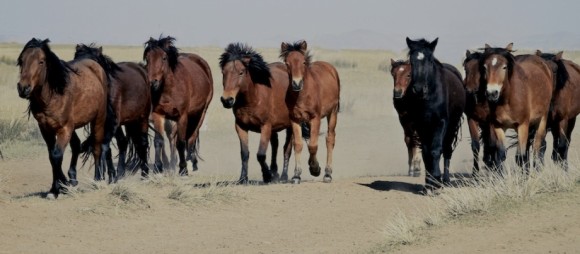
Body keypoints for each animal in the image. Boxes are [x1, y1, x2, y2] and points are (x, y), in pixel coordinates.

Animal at [16, 37, 114, 197]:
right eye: (22, 60)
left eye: (41, 61)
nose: (23, 88)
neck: (53, 95)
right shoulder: (46, 129)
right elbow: (52, 156)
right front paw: (57, 187)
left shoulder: (64, 129)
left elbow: (57, 155)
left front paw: (60, 187)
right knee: (76, 145)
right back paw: (73, 179)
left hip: (98, 120)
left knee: (97, 148)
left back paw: (97, 180)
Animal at [73, 43, 151, 179]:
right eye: (77, 58)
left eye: (93, 63)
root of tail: (141, 68)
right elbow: (104, 147)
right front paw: (110, 176)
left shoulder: (111, 123)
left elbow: (103, 146)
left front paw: (99, 176)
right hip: (127, 122)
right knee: (123, 142)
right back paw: (120, 173)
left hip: (142, 117)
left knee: (143, 143)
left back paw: (145, 174)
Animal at [143, 35, 213, 176]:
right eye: (147, 58)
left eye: (164, 58)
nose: (152, 82)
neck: (169, 89)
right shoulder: (158, 115)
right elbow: (159, 141)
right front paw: (158, 169)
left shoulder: (182, 116)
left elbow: (180, 142)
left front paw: (183, 169)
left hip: (200, 113)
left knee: (192, 136)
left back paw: (191, 164)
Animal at [218, 42, 292, 184]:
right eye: (223, 72)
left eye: (241, 72)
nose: (227, 100)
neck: (253, 99)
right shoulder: (241, 127)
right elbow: (245, 153)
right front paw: (243, 178)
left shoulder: (265, 127)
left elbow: (261, 155)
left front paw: (267, 176)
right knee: (275, 145)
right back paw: (275, 172)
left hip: (291, 126)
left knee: (287, 149)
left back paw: (284, 176)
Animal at [280, 39, 340, 184]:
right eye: (287, 63)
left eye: (303, 62)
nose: (296, 84)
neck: (302, 95)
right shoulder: (295, 119)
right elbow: (298, 144)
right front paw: (296, 175)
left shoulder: (315, 118)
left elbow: (313, 145)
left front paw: (315, 168)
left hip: (332, 113)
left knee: (330, 139)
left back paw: (327, 174)